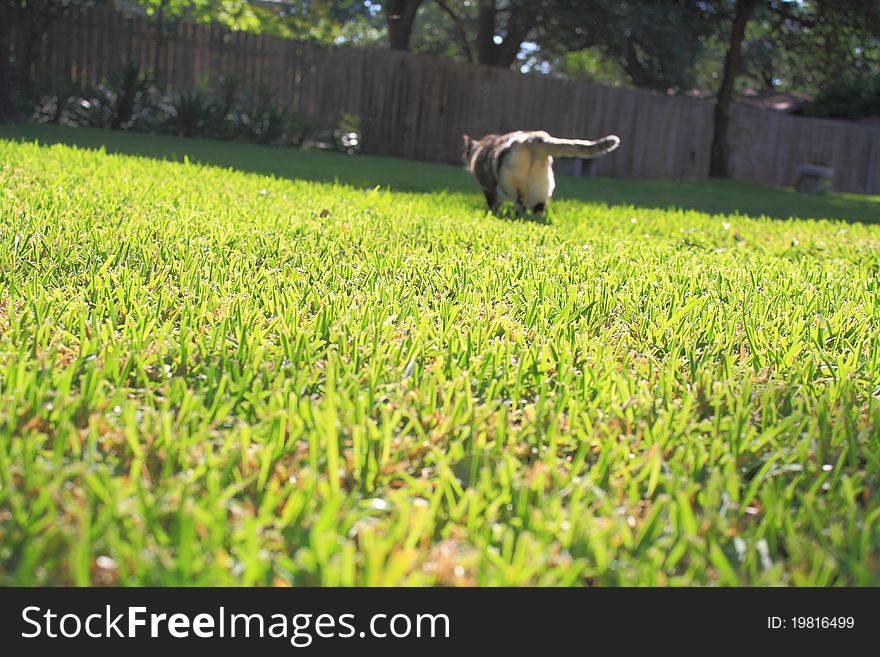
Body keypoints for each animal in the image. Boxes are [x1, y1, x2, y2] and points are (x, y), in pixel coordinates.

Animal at [460, 131, 620, 215]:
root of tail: (534, 138)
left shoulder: (487, 187)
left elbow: (492, 202)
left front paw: (492, 211)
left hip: (514, 184)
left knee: (521, 205)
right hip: (542, 186)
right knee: (538, 208)